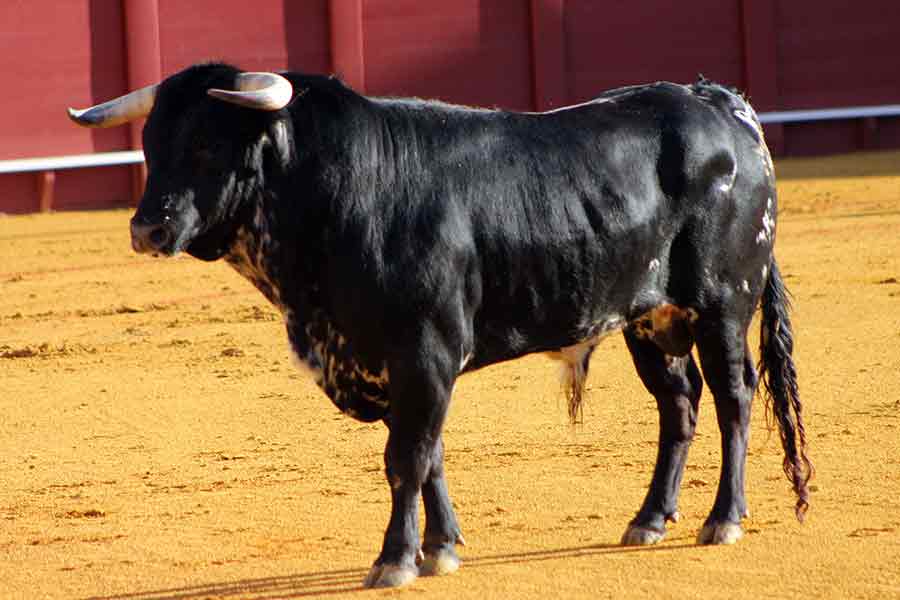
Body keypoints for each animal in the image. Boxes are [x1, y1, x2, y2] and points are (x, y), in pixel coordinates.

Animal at [74, 63, 812, 588]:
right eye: (149, 143)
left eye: (205, 142)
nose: (146, 229)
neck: (340, 191)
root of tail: (721, 103)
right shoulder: (402, 366)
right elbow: (428, 454)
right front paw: (442, 548)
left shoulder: (424, 353)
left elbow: (405, 458)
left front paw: (395, 560)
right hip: (649, 320)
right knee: (678, 404)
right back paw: (650, 519)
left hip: (722, 303)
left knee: (734, 397)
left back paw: (723, 519)